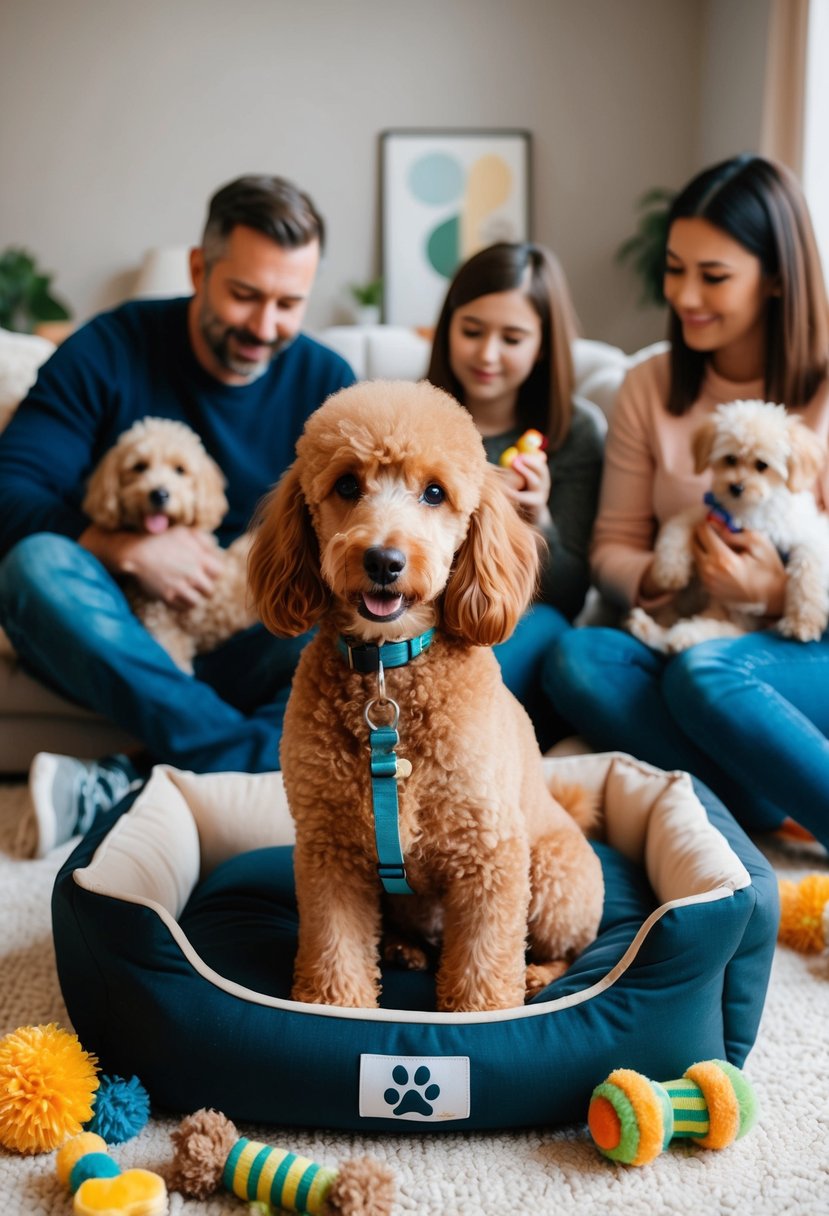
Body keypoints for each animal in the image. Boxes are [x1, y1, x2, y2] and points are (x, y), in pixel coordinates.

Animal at [627, 398, 826, 651]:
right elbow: (677, 526)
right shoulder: (710, 513)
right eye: (730, 459)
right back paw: (649, 628)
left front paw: (803, 622)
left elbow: (807, 572)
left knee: (713, 631)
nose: (736, 487)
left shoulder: (811, 535)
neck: (746, 513)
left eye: (762, 465)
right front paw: (669, 570)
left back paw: (674, 634)